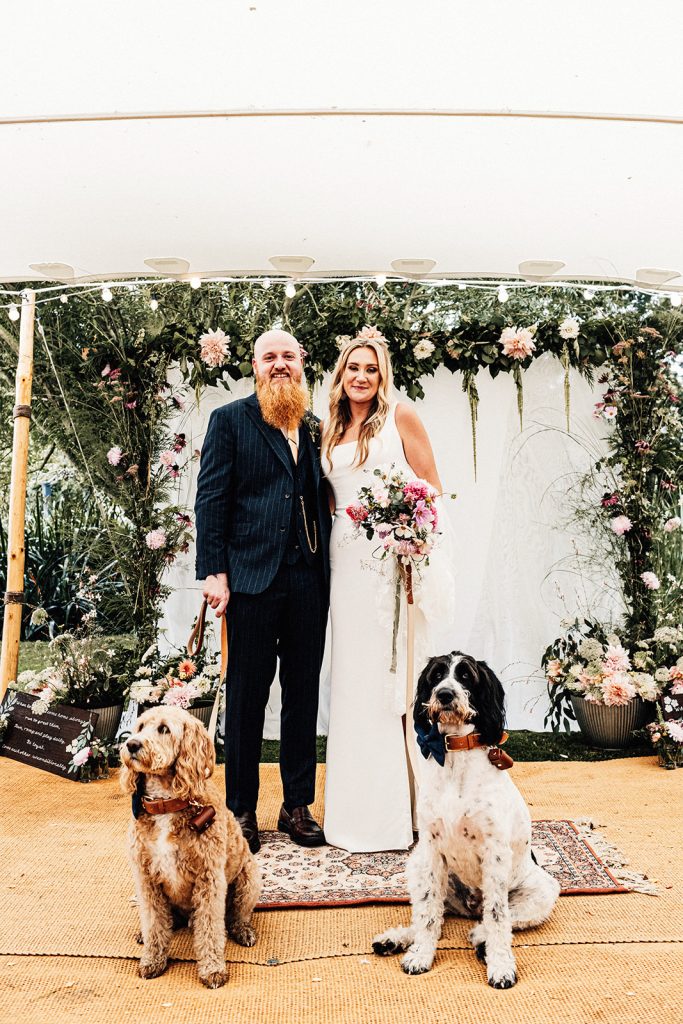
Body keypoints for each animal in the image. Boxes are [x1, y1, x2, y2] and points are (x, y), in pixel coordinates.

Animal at [118, 708, 260, 987]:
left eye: (164, 729)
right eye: (139, 727)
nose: (132, 745)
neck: (166, 803)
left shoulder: (209, 879)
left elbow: (210, 929)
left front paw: (212, 969)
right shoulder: (146, 879)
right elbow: (154, 924)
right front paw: (152, 960)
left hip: (249, 879)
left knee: (236, 916)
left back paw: (243, 931)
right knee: (168, 920)